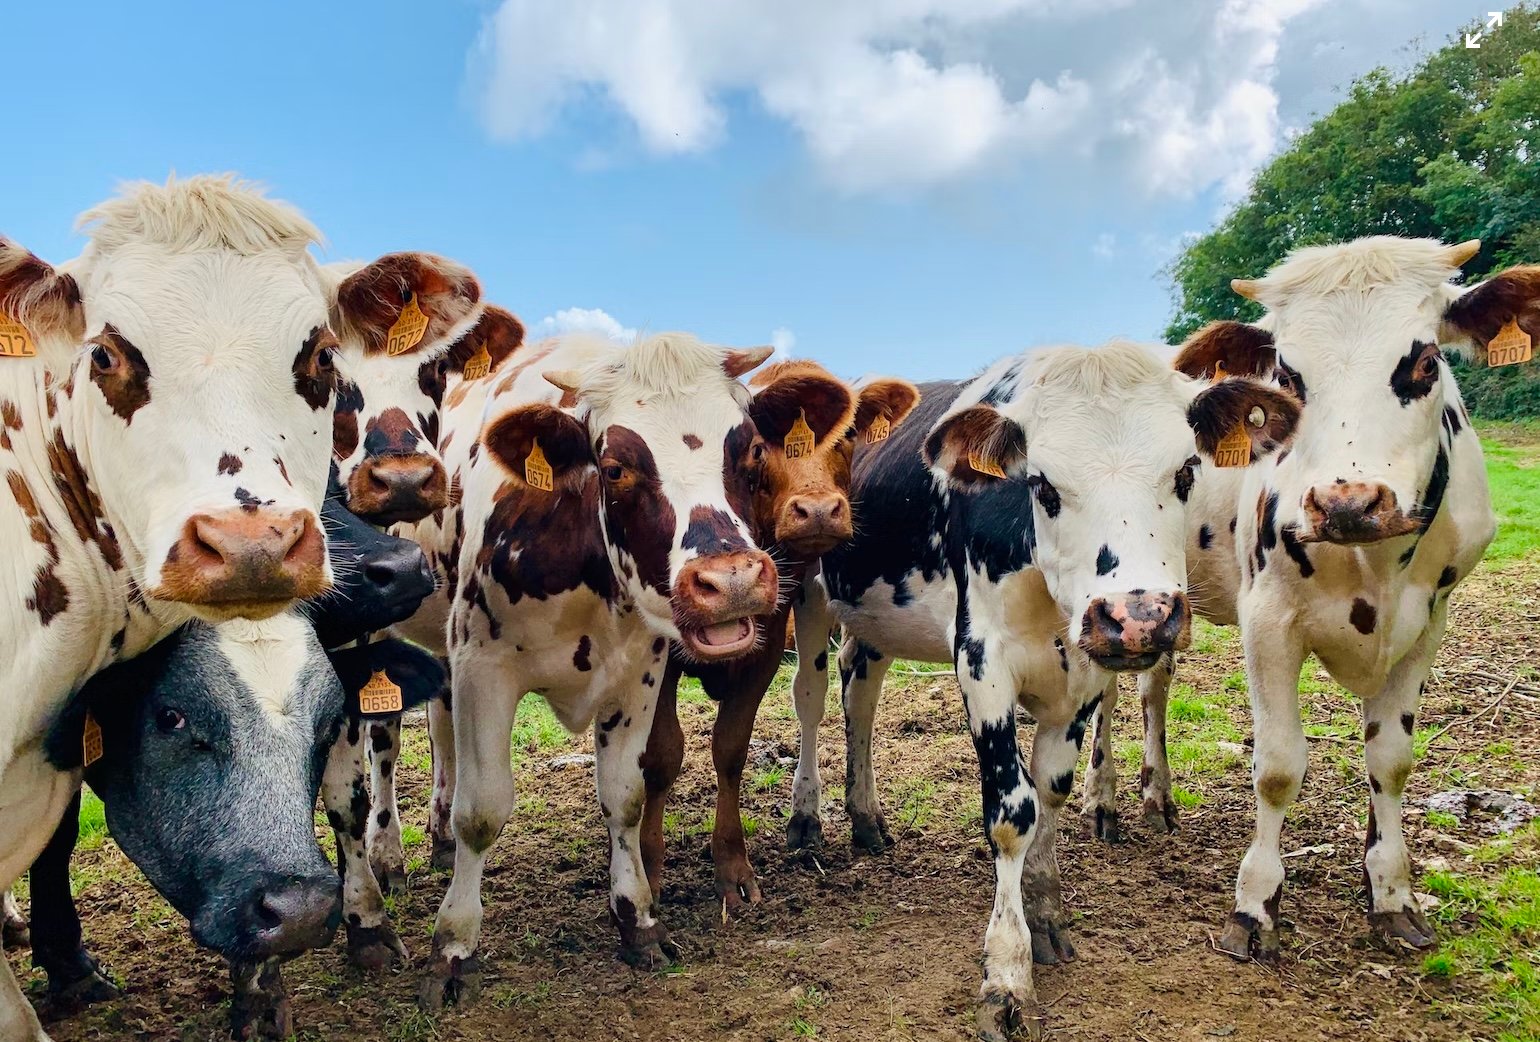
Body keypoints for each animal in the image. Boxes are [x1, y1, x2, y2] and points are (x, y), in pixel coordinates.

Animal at [397, 329, 782, 1003]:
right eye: (616, 467)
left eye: (752, 450)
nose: (732, 581)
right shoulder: (481, 667)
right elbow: (483, 810)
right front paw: (453, 947)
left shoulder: (640, 673)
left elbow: (626, 796)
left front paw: (638, 921)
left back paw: (438, 835)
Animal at [634, 361, 911, 917]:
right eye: (760, 448)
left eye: (849, 436)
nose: (820, 510)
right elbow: (663, 754)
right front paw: (649, 871)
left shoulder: (768, 645)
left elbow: (731, 748)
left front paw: (733, 868)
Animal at [782, 343, 1299, 1040]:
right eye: (1042, 484)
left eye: (1187, 472)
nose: (1138, 615)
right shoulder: (981, 661)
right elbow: (1012, 812)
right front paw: (1005, 973)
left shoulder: (1084, 676)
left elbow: (1050, 788)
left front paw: (1046, 910)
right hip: (807, 587)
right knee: (810, 696)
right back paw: (807, 817)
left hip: (874, 617)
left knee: (859, 690)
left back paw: (865, 816)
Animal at [1139, 235, 1509, 960]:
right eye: (1286, 375)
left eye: (1425, 361)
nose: (1347, 502)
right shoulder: (1266, 620)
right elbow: (1278, 766)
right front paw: (1255, 905)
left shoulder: (1428, 624)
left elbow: (1391, 761)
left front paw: (1390, 893)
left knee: (1154, 686)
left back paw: (1156, 797)